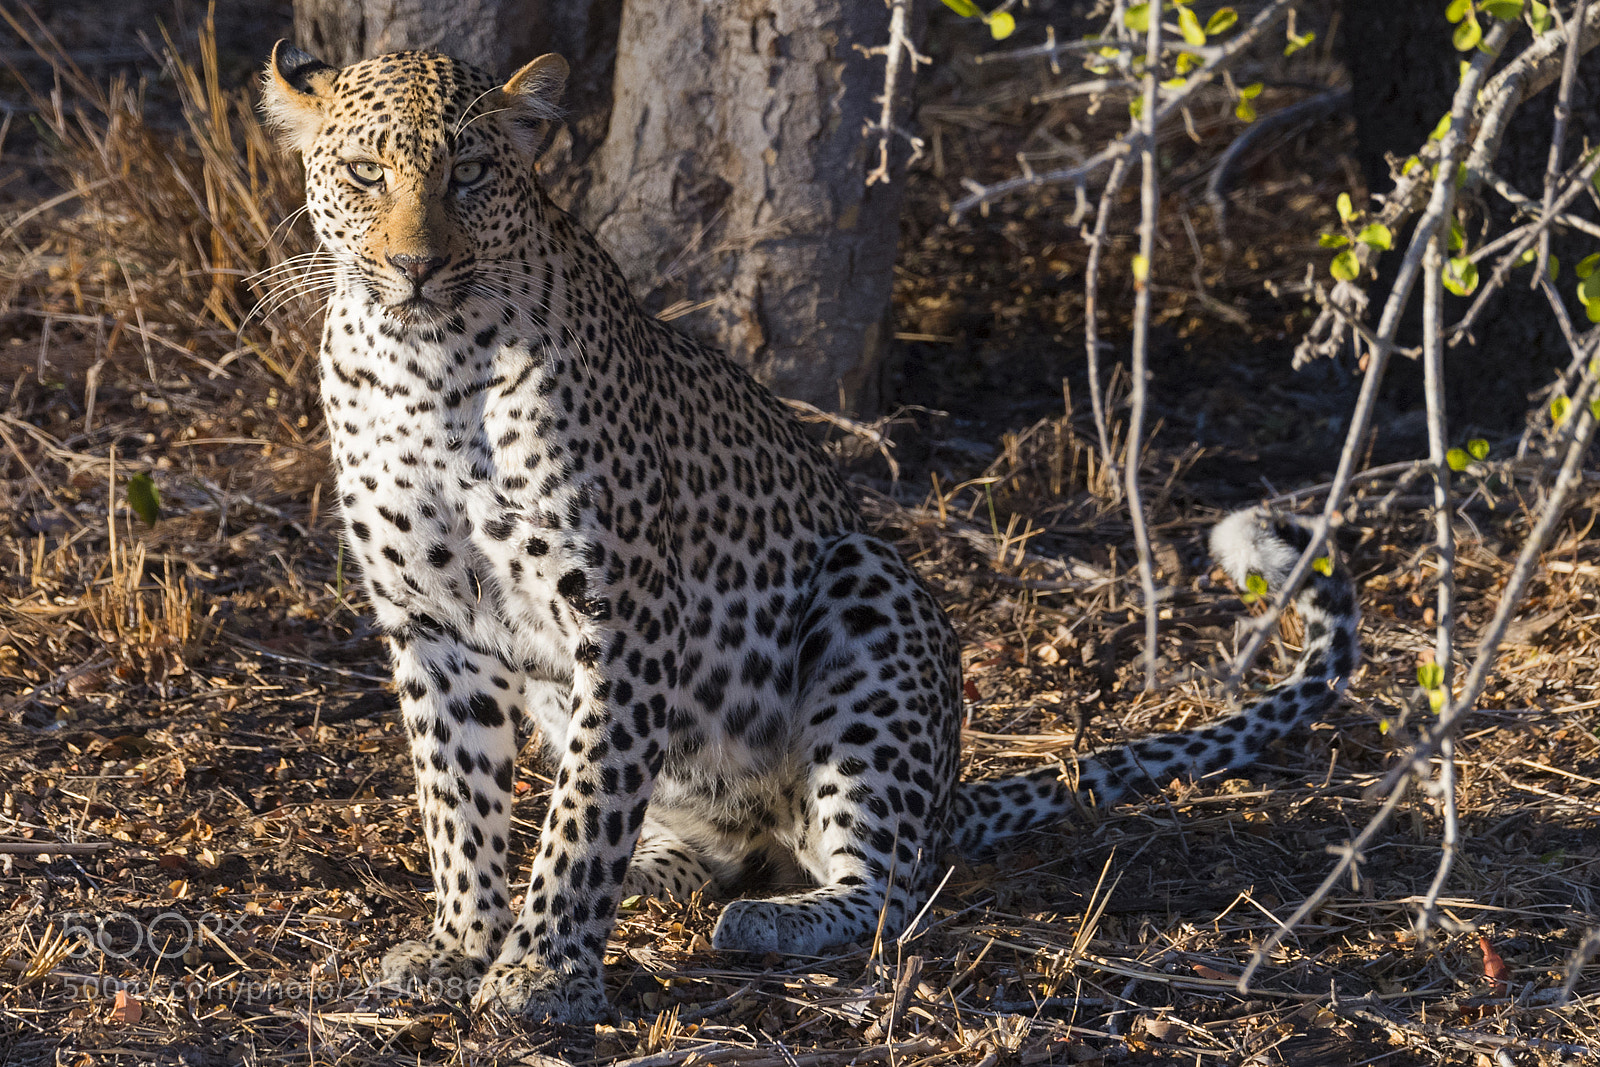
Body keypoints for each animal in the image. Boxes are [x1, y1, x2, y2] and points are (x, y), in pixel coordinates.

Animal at [260, 41, 1361, 1024]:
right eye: (365, 174)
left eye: (472, 174)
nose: (415, 266)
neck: (424, 366)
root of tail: (952, 791)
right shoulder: (430, 620)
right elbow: (458, 798)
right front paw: (462, 944)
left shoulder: (621, 607)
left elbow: (584, 812)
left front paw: (545, 972)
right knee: (701, 832)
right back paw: (661, 872)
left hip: (868, 592)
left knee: (892, 887)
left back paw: (770, 919)